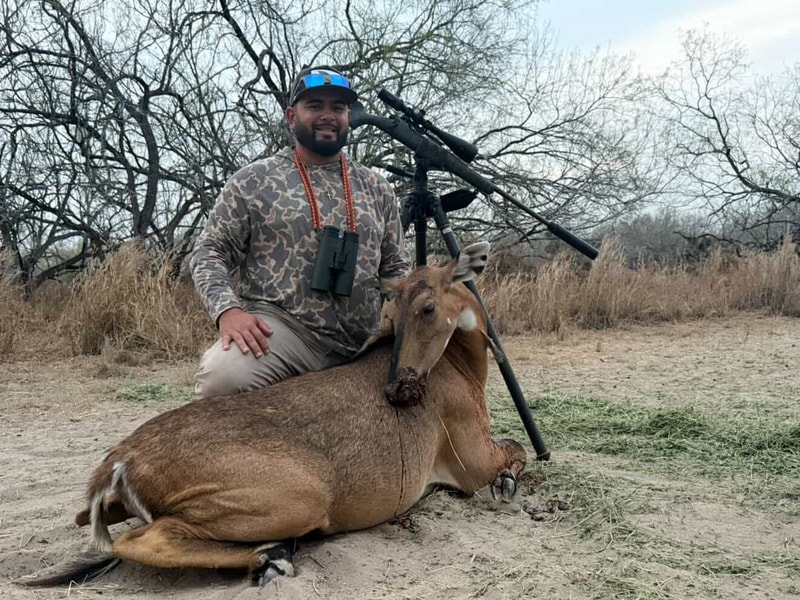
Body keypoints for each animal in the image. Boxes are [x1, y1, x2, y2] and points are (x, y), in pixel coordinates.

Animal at [17, 242, 527, 588]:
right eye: (394, 313)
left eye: (425, 307)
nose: (399, 387)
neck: (458, 362)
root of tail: (120, 461)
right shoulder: (471, 463)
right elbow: (516, 449)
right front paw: (506, 484)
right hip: (301, 497)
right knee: (142, 539)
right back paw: (271, 559)